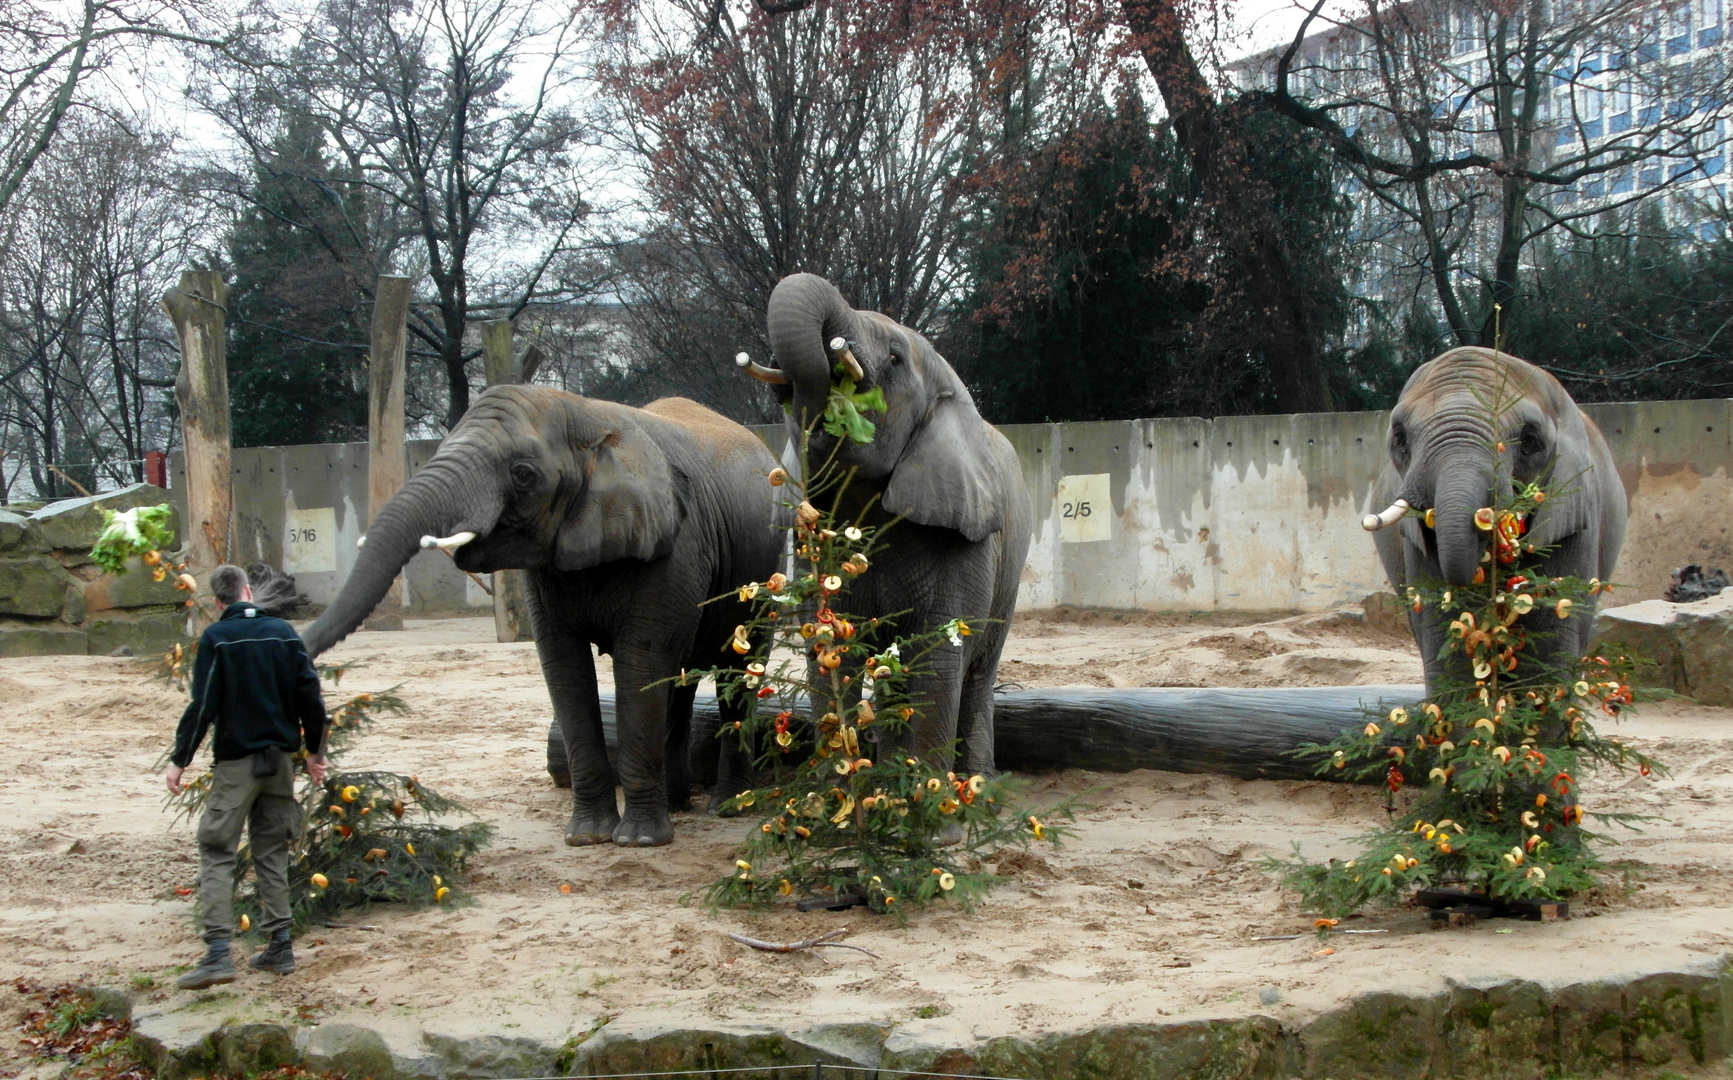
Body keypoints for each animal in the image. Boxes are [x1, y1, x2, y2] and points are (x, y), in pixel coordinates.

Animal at [301, 384, 783, 849]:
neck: (586, 414)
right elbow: (564, 667)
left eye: (523, 474)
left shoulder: (673, 545)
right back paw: (680, 805)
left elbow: (640, 661)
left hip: (765, 568)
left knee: (738, 670)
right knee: (680, 680)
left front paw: (640, 841)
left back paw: (725, 808)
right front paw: (586, 837)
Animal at [738, 273, 1032, 773]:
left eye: (894, 357)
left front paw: (928, 794)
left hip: (1008, 577)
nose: (833, 350)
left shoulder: (962, 541)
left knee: (976, 676)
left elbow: (938, 659)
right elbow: (827, 650)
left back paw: (978, 782)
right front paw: (843, 788)